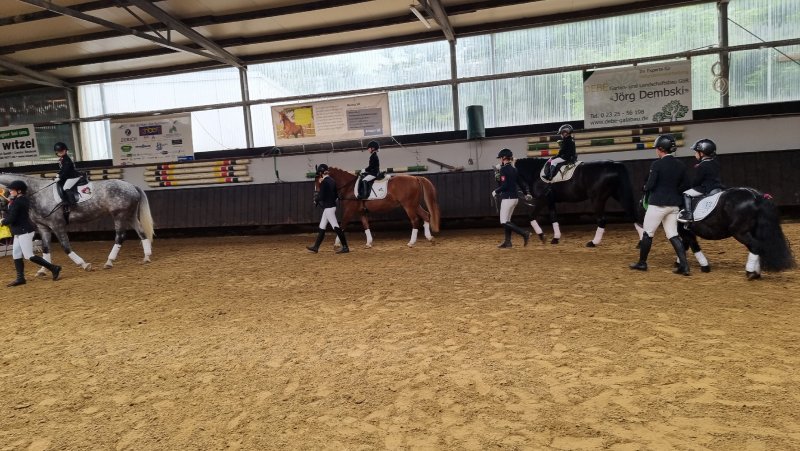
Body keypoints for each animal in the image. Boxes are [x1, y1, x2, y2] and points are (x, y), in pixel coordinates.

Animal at [0, 173, 155, 273]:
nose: (3, 209)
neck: (37, 193)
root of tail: (131, 186)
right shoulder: (43, 227)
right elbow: (45, 248)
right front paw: (43, 269)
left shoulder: (57, 225)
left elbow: (65, 247)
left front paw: (84, 264)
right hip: (130, 215)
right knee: (141, 232)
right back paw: (146, 257)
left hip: (119, 215)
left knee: (120, 237)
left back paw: (109, 261)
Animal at [637, 188, 795, 280]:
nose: (640, 203)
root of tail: (756, 196)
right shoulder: (686, 233)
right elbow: (684, 247)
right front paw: (680, 264)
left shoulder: (686, 232)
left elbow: (692, 247)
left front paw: (702, 266)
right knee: (757, 247)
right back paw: (756, 272)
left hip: (739, 232)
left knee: (755, 246)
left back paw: (751, 272)